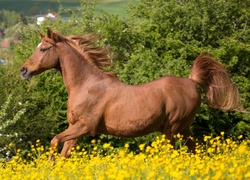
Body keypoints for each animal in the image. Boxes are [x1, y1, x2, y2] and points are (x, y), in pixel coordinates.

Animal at [20, 27, 242, 158]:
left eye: (43, 49)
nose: (23, 70)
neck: (86, 85)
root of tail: (191, 81)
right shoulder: (74, 127)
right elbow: (63, 154)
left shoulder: (85, 127)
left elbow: (54, 141)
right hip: (182, 128)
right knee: (196, 150)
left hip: (173, 128)